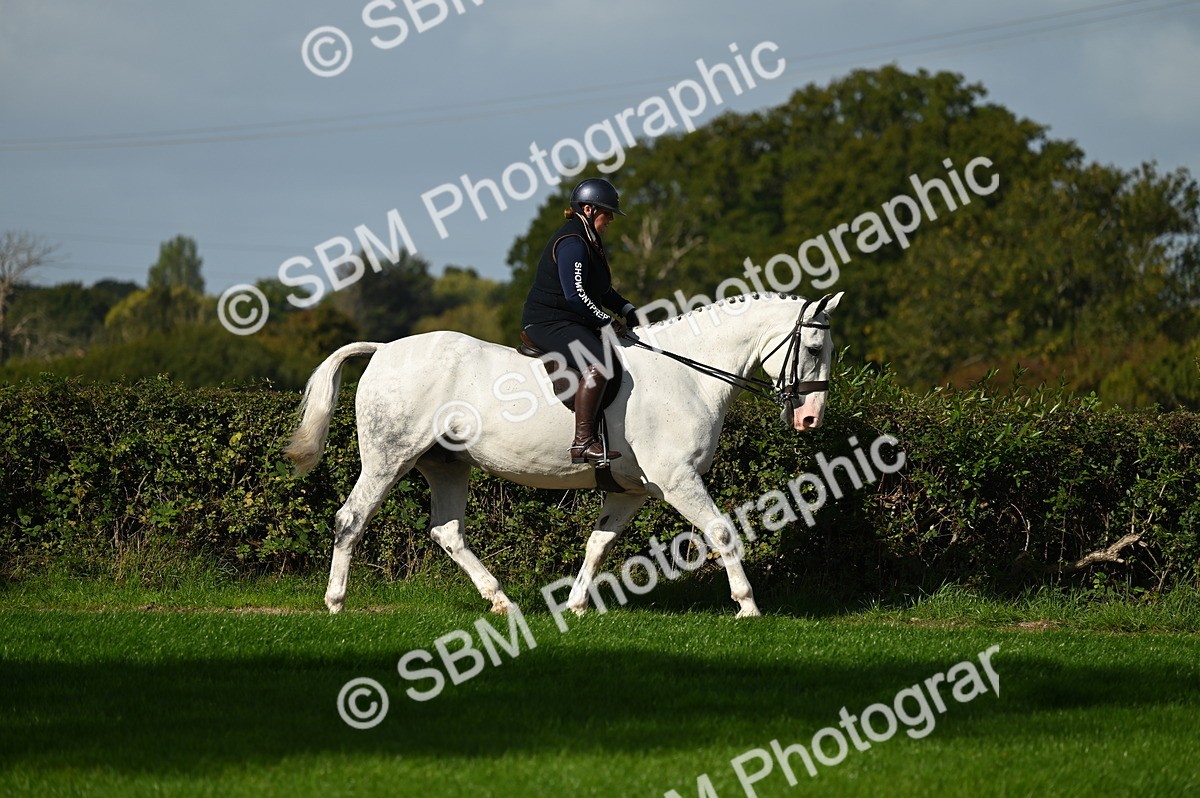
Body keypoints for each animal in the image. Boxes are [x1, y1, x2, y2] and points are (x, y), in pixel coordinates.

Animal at [284, 291, 844, 618]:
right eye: (815, 349)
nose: (810, 420)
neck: (687, 372)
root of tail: (383, 350)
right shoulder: (677, 479)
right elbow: (722, 530)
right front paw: (747, 606)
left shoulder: (633, 491)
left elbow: (598, 545)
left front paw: (574, 606)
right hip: (389, 458)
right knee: (351, 519)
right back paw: (335, 603)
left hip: (447, 466)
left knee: (447, 532)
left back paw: (501, 601)